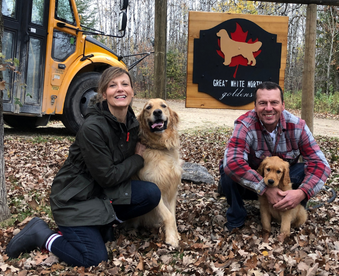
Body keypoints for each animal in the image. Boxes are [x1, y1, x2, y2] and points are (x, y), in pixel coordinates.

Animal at [129, 98, 185, 247]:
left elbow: (173, 215)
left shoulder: (172, 192)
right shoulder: (156, 188)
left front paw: (176, 234)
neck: (161, 148)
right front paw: (171, 239)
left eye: (163, 106)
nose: (157, 112)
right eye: (148, 107)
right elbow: (168, 216)